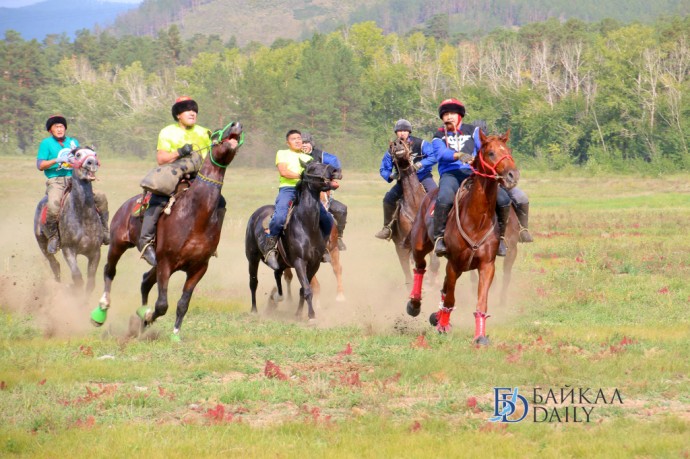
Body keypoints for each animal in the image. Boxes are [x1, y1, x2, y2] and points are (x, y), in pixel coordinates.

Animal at [90, 121, 243, 338]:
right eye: (215, 135)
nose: (236, 124)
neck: (195, 216)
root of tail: (126, 205)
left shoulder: (198, 268)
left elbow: (182, 304)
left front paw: (174, 334)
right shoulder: (166, 263)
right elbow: (162, 305)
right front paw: (147, 315)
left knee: (145, 281)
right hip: (119, 244)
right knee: (109, 270)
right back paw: (101, 311)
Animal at [247, 160, 344, 322]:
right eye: (313, 168)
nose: (336, 170)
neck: (306, 225)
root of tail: (257, 213)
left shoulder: (315, 263)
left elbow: (304, 289)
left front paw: (299, 313)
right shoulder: (300, 262)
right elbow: (308, 288)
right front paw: (311, 316)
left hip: (281, 262)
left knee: (277, 274)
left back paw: (276, 297)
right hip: (252, 258)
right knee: (254, 282)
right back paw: (254, 310)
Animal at [404, 129, 516, 344]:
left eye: (508, 151)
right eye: (491, 153)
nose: (512, 175)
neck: (477, 220)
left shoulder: (486, 265)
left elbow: (481, 301)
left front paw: (480, 336)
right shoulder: (454, 263)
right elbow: (450, 298)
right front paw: (443, 326)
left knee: (443, 286)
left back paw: (436, 316)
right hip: (421, 246)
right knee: (420, 268)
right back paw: (414, 304)